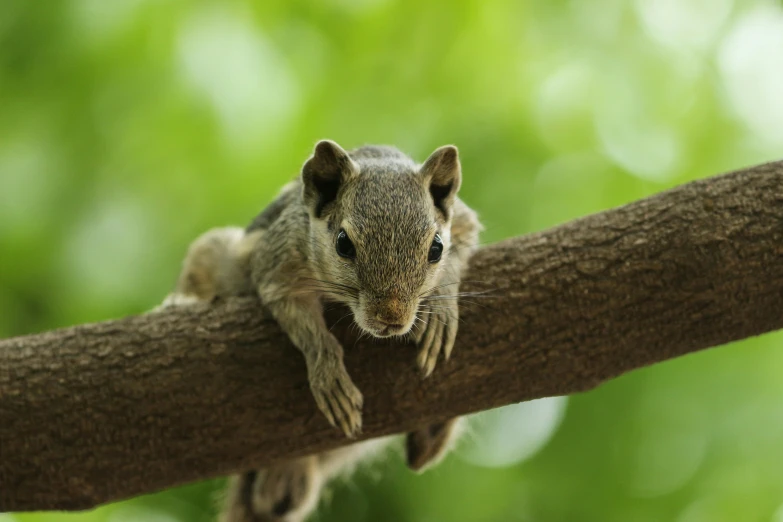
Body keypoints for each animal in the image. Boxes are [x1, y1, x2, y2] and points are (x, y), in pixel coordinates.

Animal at [159, 140, 480, 516]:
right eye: (343, 243)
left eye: (436, 248)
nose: (392, 318)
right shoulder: (278, 263)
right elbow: (306, 327)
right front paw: (329, 375)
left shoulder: (463, 220)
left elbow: (461, 248)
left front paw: (440, 311)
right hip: (212, 252)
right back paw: (178, 303)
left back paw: (432, 434)